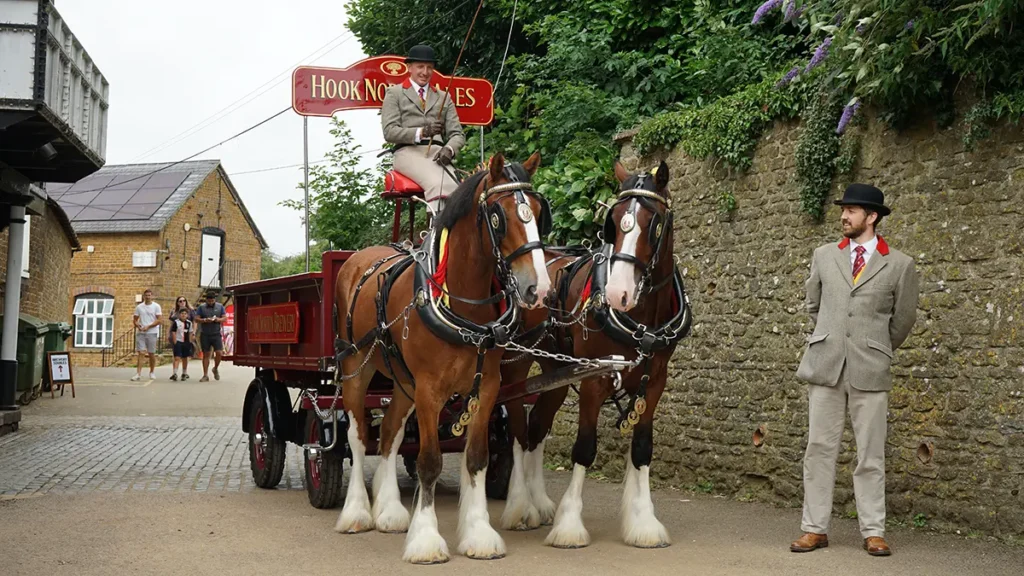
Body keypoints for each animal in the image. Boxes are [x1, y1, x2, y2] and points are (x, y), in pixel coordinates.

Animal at [329, 151, 552, 561]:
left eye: (540, 211)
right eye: (498, 216)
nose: (538, 288)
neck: (463, 305)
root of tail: (358, 259)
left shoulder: (486, 389)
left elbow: (476, 458)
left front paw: (478, 533)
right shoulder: (430, 391)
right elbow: (429, 462)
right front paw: (426, 540)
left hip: (402, 383)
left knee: (389, 433)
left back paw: (389, 510)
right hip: (356, 368)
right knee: (357, 436)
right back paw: (356, 512)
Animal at [495, 158, 688, 545]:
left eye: (655, 222)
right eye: (614, 220)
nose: (617, 294)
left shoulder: (654, 382)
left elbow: (642, 450)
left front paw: (643, 523)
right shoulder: (593, 381)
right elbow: (584, 449)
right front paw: (569, 526)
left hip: (553, 372)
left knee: (536, 428)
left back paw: (539, 503)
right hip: (515, 367)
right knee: (518, 432)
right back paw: (520, 506)